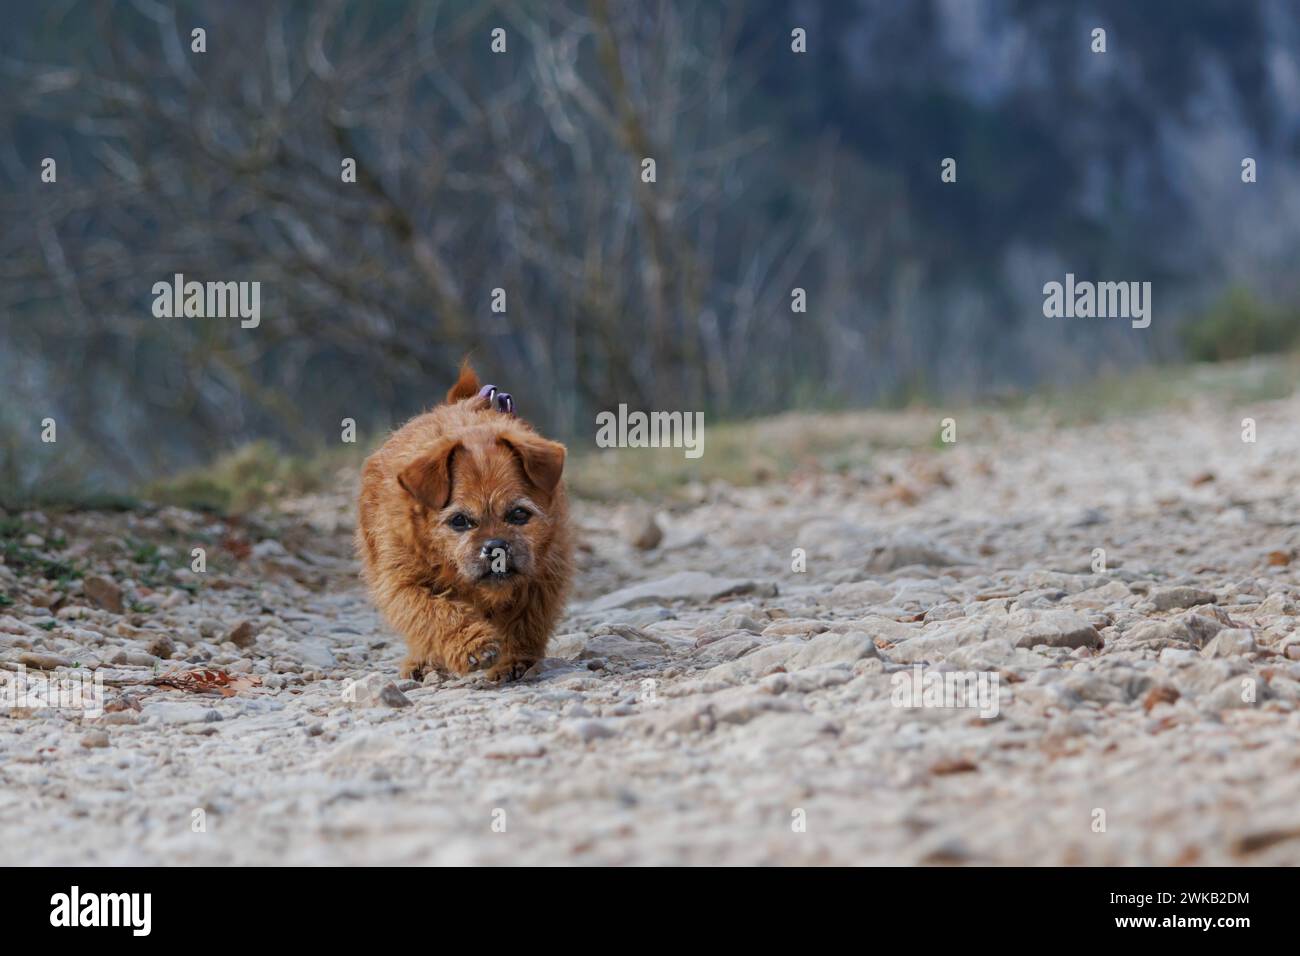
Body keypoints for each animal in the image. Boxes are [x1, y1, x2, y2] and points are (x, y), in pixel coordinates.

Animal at [361, 361, 574, 681]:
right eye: (459, 521)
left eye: (519, 514)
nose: (496, 547)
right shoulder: (401, 583)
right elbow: (432, 614)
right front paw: (473, 646)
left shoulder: (543, 576)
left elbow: (525, 620)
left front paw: (516, 659)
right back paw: (423, 662)